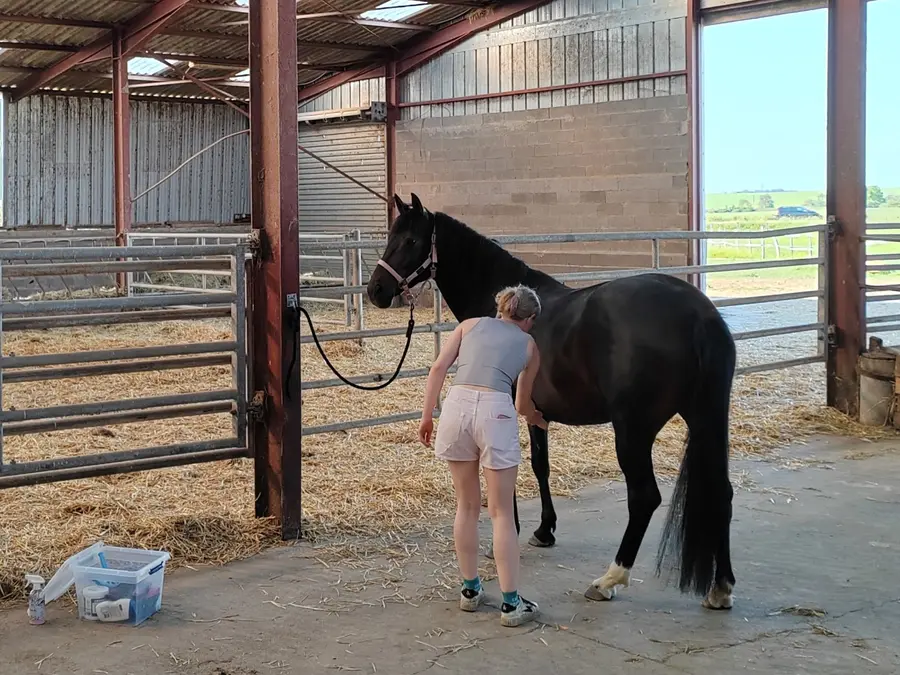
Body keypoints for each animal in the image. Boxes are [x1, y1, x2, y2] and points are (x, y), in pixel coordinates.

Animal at [366, 193, 738, 610]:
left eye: (411, 241)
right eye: (391, 236)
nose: (376, 290)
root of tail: (698, 315)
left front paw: (510, 529)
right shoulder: (536, 413)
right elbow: (540, 465)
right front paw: (545, 530)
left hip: (633, 429)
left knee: (644, 497)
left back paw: (608, 580)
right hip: (707, 417)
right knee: (722, 492)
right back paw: (721, 587)